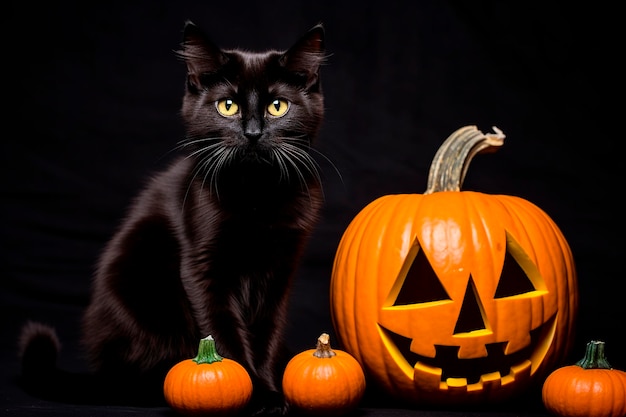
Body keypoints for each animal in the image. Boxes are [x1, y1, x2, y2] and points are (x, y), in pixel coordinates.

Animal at [18, 21, 326, 414]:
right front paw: (258, 395)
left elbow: (265, 335)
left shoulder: (279, 272)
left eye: (278, 106)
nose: (253, 133)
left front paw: (272, 390)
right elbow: (222, 335)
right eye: (227, 106)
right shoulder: (202, 267)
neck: (256, 195)